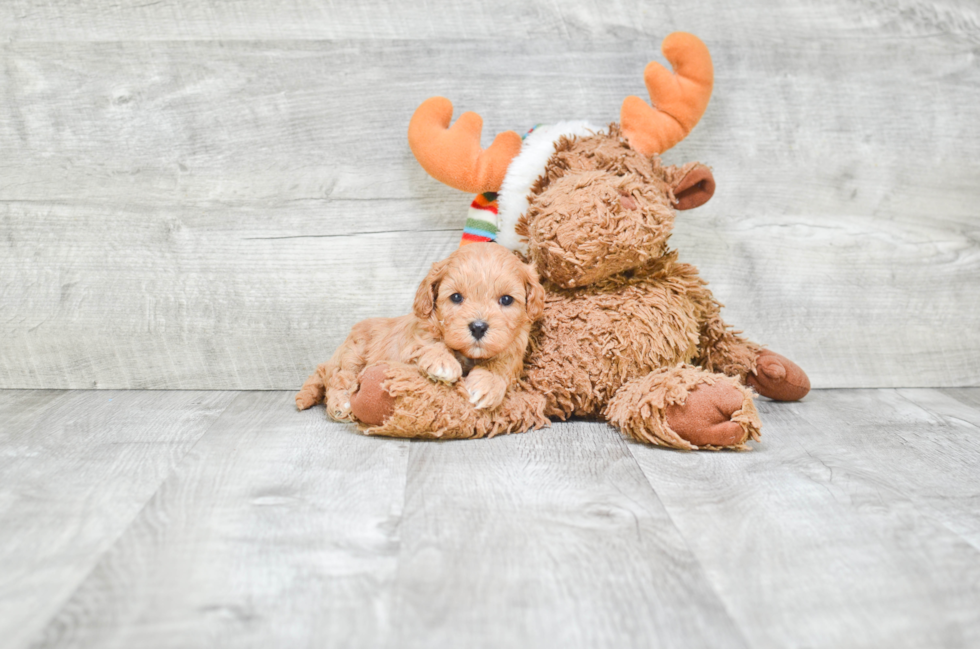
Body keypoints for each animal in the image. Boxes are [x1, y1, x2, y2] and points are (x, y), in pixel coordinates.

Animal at [294, 243, 548, 420]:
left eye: (506, 300)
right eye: (456, 297)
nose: (478, 327)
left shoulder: (513, 347)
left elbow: (502, 363)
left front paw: (487, 384)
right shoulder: (412, 340)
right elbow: (429, 343)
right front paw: (442, 362)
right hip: (353, 354)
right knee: (337, 378)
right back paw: (340, 404)